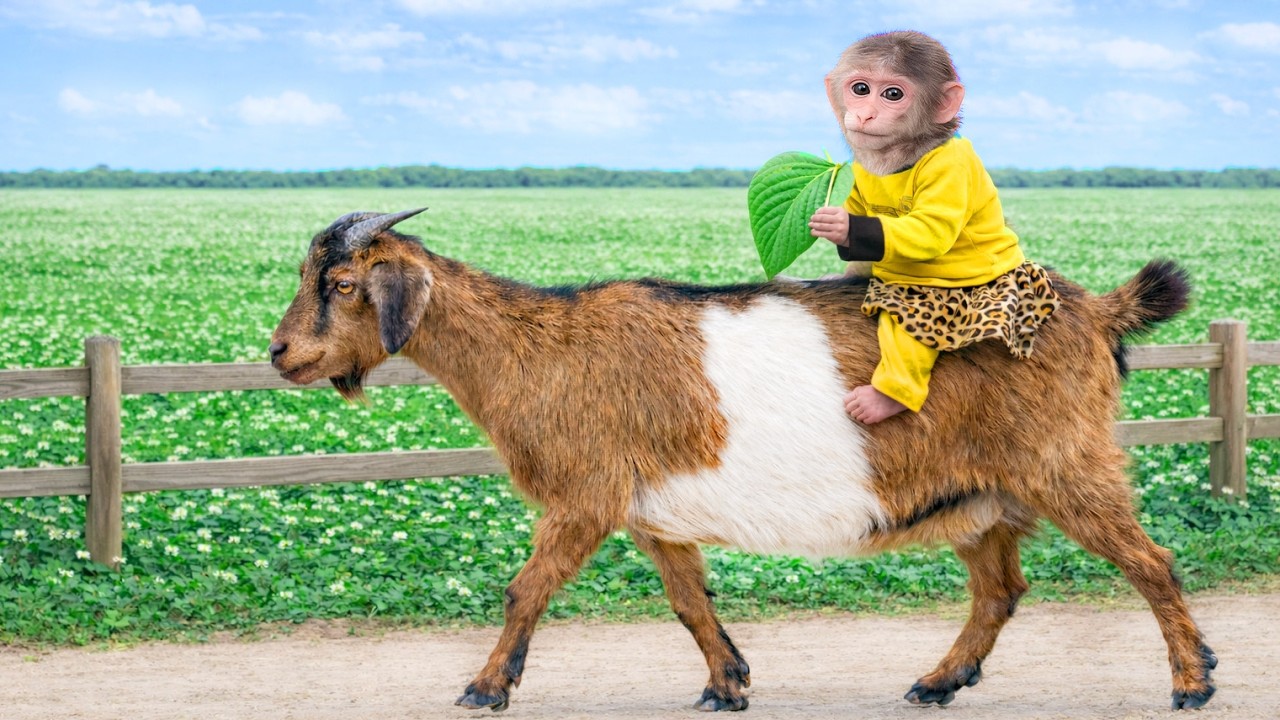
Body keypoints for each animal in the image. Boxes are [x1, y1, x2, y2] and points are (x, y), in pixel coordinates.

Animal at [269, 209, 1214, 713]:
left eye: (343, 286)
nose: (281, 354)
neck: (538, 350)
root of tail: (1100, 309)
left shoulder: (585, 497)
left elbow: (525, 590)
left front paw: (485, 687)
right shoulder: (653, 513)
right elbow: (689, 602)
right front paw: (728, 684)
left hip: (1067, 465)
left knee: (1152, 563)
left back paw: (1191, 682)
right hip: (979, 497)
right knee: (1000, 590)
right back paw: (938, 682)